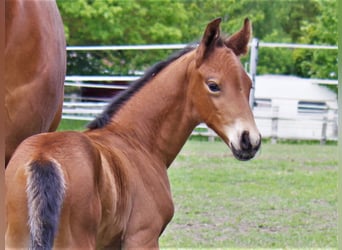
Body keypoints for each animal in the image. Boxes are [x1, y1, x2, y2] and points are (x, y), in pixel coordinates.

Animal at [5, 17, 260, 248]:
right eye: (213, 85)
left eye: (249, 85)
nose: (250, 140)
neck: (136, 139)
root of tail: (42, 158)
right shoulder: (143, 236)